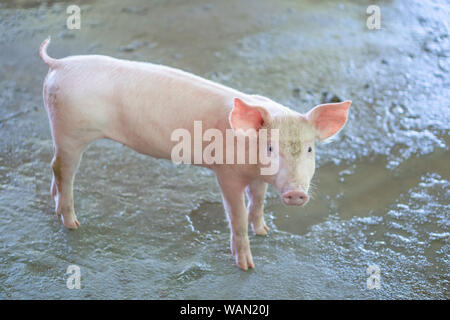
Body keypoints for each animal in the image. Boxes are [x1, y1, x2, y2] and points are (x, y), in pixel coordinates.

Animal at [40, 38, 350, 270]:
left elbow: (258, 201)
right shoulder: (227, 173)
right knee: (61, 169)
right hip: (69, 131)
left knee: (56, 169)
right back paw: (72, 225)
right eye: (271, 147)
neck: (250, 159)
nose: (296, 193)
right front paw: (247, 266)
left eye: (309, 148)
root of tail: (60, 64)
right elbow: (236, 216)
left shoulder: (258, 177)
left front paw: (264, 231)